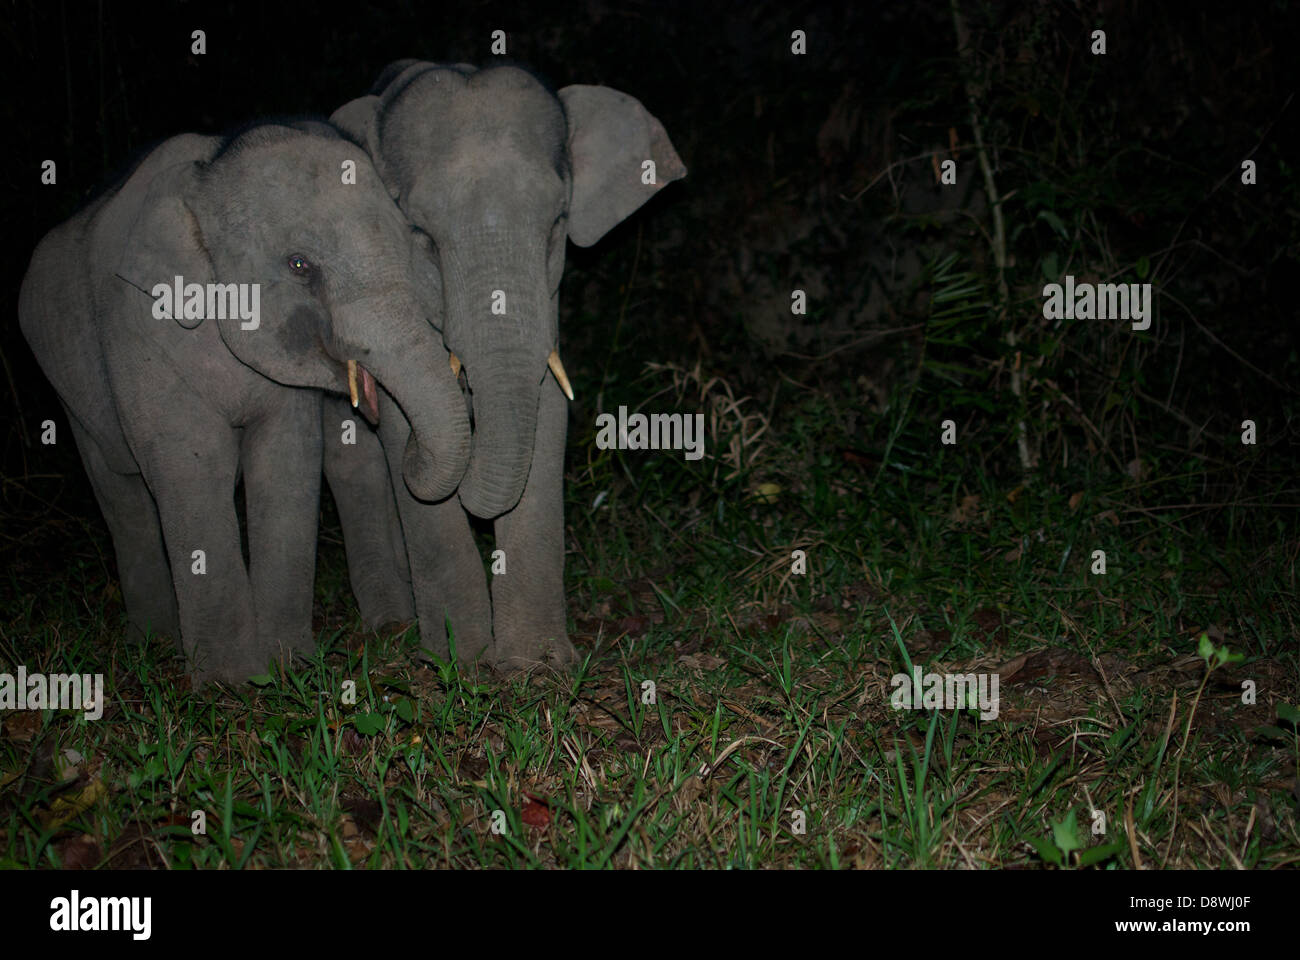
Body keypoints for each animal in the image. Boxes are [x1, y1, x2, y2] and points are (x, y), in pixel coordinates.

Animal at [17, 125, 473, 681]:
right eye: (300, 265)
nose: (375, 411)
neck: (205, 182)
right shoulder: (136, 331)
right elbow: (194, 466)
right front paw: (229, 682)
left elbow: (286, 464)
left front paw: (287, 667)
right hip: (66, 384)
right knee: (120, 493)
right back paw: (152, 644)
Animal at [330, 63, 686, 671]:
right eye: (421, 237)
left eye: (557, 225)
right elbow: (408, 424)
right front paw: (456, 660)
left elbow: (547, 412)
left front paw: (534, 666)